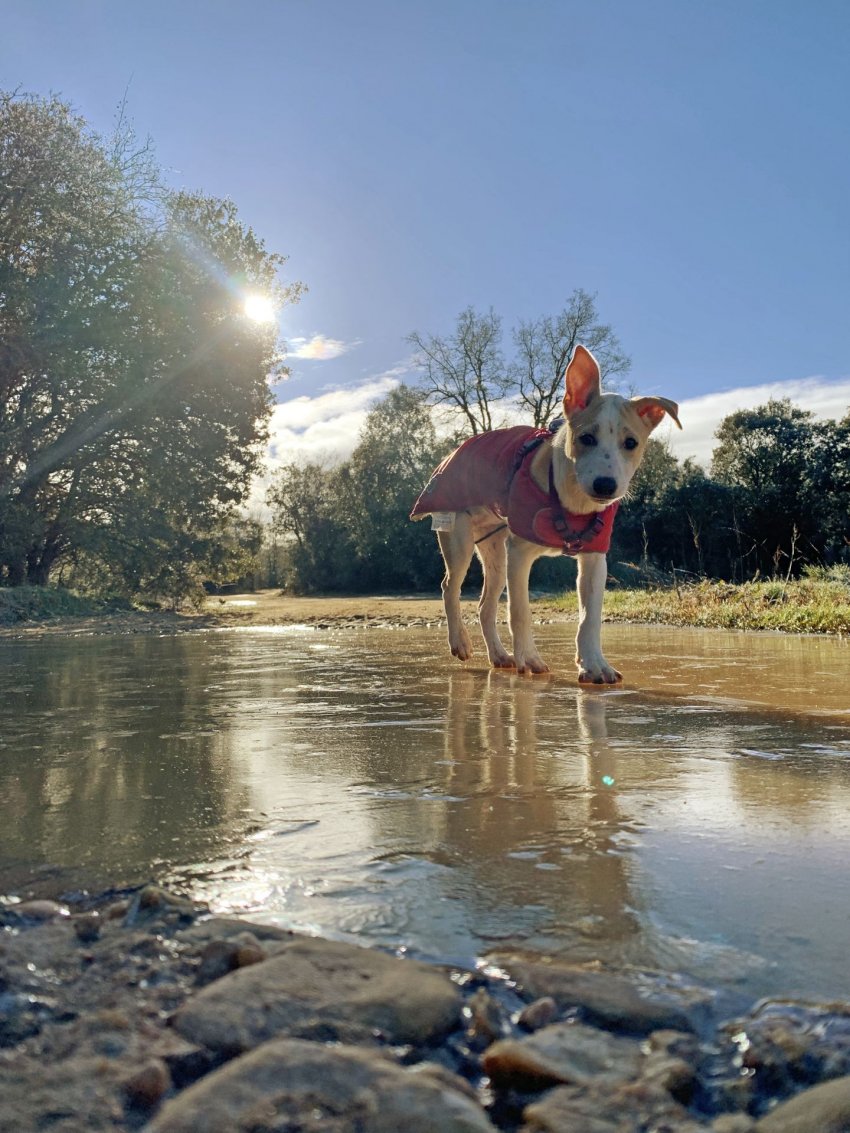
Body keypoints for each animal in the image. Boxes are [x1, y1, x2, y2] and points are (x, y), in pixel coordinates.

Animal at [410, 342, 684, 679]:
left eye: (631, 442)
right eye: (586, 438)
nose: (605, 486)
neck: (571, 500)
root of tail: (455, 450)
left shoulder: (594, 559)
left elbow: (589, 617)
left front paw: (595, 664)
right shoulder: (519, 554)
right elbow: (520, 612)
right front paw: (530, 659)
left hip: (495, 552)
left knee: (485, 606)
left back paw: (499, 655)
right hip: (458, 535)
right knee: (450, 587)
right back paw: (460, 642)